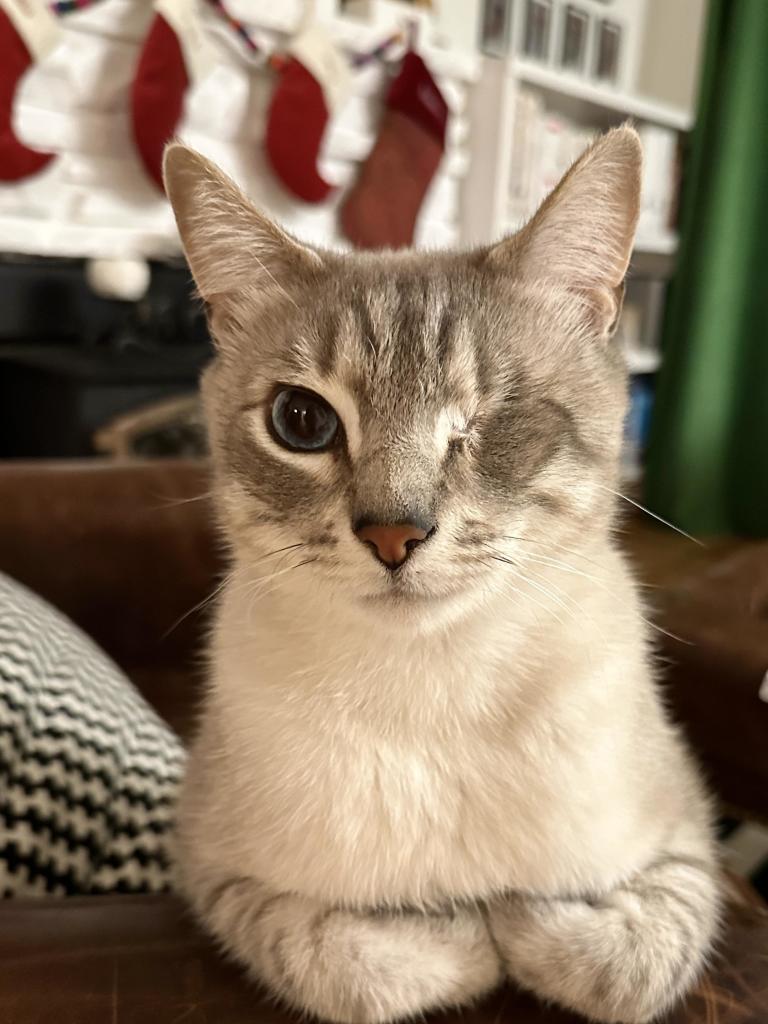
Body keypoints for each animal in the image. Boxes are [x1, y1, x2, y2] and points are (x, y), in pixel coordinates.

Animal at [162, 128, 720, 1024]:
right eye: (301, 421)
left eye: (495, 417)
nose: (394, 534)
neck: (432, 681)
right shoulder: (209, 868)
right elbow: (362, 963)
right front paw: (462, 927)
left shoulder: (688, 838)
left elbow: (622, 961)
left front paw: (516, 918)